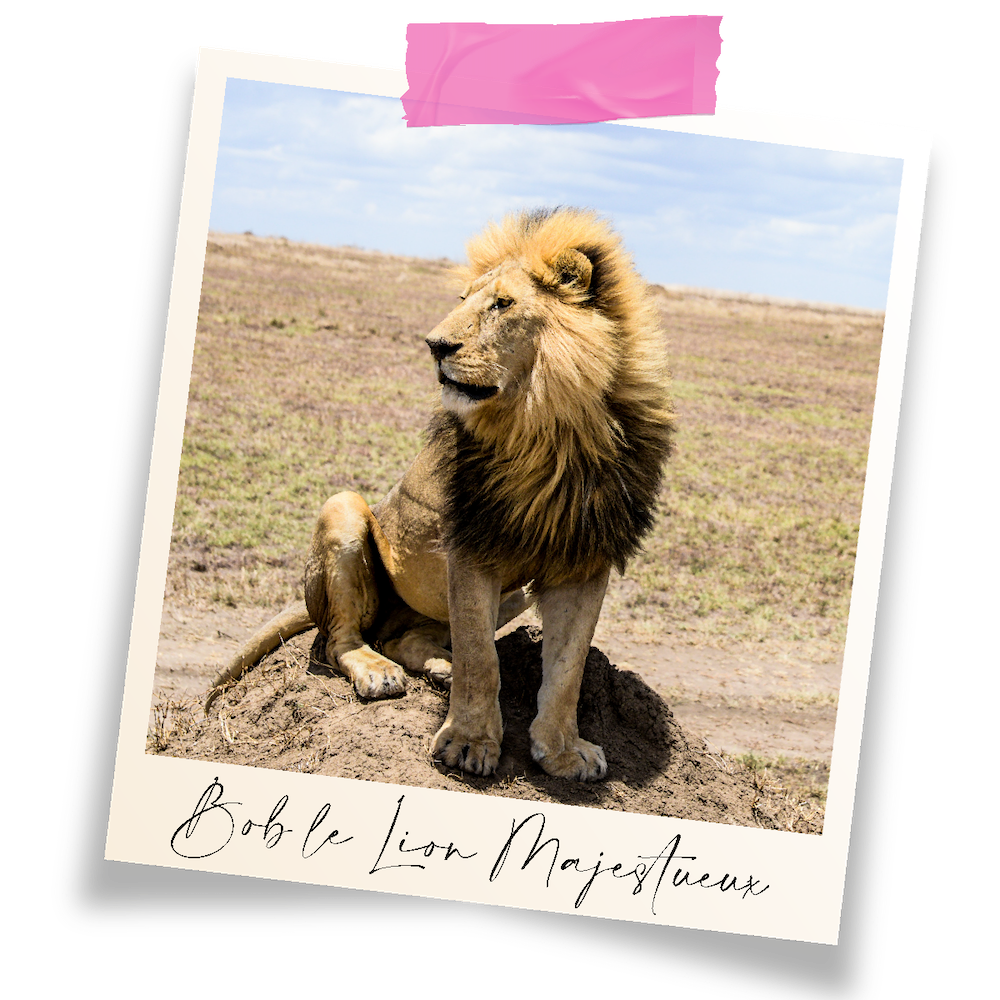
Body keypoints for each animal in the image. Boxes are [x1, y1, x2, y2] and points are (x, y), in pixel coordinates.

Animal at [205, 207, 674, 781]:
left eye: (502, 304)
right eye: (463, 299)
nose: (434, 345)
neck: (552, 429)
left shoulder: (585, 557)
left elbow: (568, 667)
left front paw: (564, 751)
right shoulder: (472, 546)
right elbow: (481, 656)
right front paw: (469, 745)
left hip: (502, 595)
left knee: (401, 636)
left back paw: (437, 667)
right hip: (344, 511)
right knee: (340, 639)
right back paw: (379, 673)